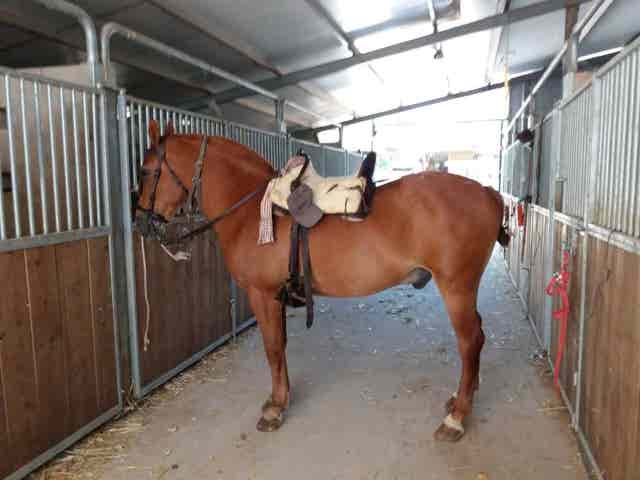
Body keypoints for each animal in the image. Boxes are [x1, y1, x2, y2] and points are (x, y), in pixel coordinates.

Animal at [134, 120, 508, 442]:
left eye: (146, 171)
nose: (140, 223)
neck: (252, 213)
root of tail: (488, 192)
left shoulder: (262, 296)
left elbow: (272, 348)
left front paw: (274, 410)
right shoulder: (276, 297)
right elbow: (281, 347)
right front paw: (282, 398)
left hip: (457, 288)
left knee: (470, 342)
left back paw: (456, 418)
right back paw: (460, 399)